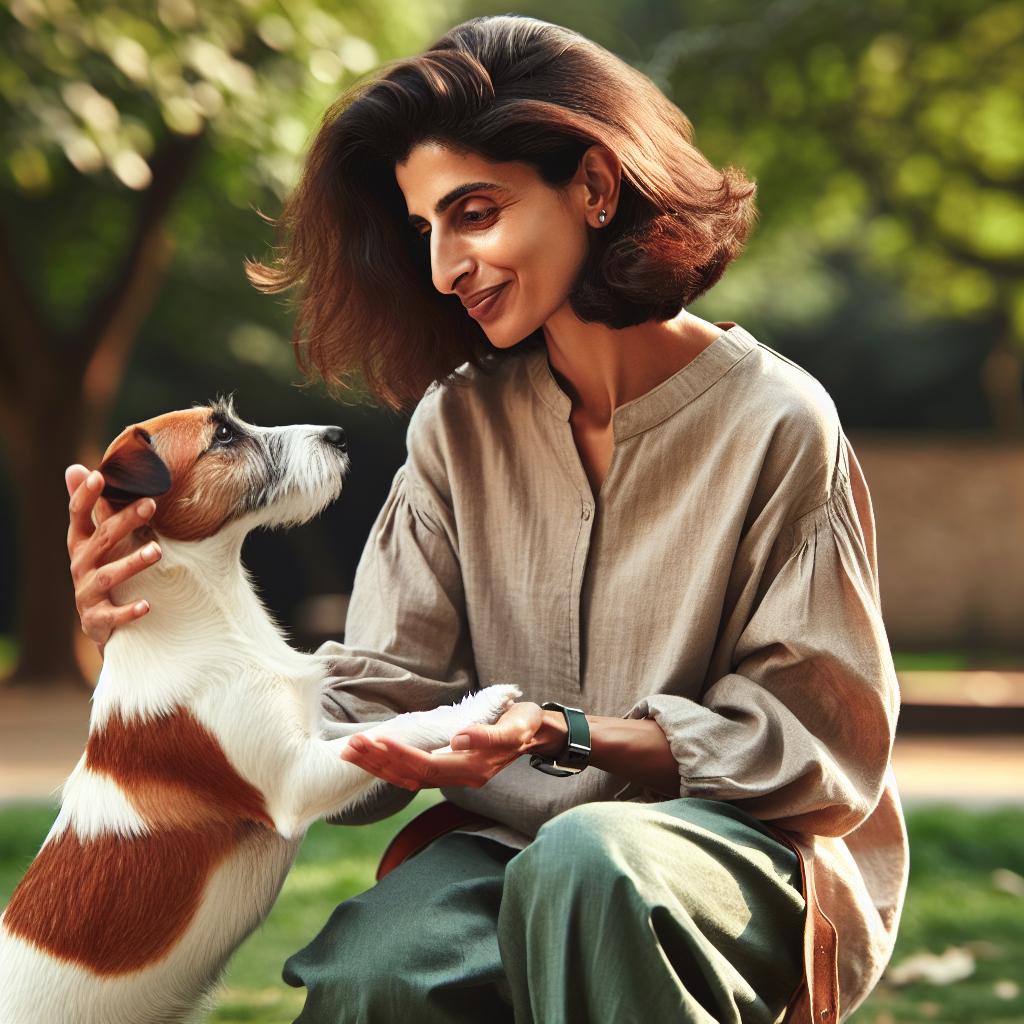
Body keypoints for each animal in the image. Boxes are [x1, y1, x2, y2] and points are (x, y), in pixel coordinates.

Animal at [0, 397, 516, 1024]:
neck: (219, 620)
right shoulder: (295, 781)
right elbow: (404, 724)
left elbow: (382, 722)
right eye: (223, 435)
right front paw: (482, 704)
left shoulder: (317, 730)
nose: (338, 435)